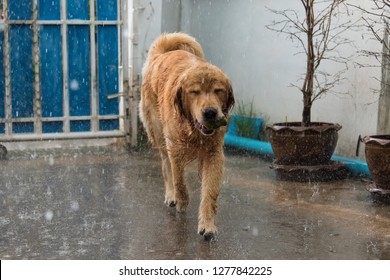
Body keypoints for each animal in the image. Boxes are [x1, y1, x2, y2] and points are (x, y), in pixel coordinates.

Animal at [139, 31, 235, 240]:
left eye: (218, 90)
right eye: (194, 92)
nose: (210, 112)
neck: (193, 128)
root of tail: (161, 53)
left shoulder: (214, 153)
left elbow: (210, 192)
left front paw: (207, 225)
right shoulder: (174, 147)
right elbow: (179, 180)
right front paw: (182, 200)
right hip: (157, 131)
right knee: (165, 165)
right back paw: (171, 195)